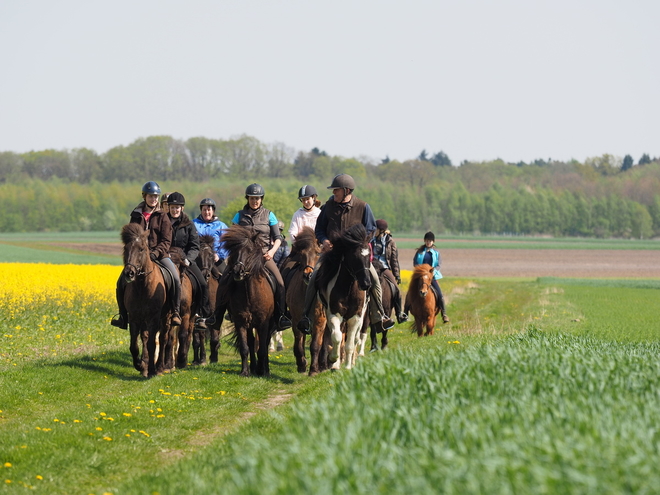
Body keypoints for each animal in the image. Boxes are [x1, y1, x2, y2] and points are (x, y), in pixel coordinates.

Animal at [118, 223, 175, 378]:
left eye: (142, 249)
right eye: (126, 248)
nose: (129, 273)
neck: (142, 286)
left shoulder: (153, 318)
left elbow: (152, 344)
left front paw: (152, 371)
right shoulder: (134, 317)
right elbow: (134, 345)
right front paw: (140, 365)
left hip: (166, 317)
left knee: (163, 339)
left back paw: (160, 367)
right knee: (145, 337)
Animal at [215, 225, 274, 376]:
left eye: (249, 250)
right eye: (234, 251)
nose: (238, 271)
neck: (249, 294)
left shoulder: (264, 323)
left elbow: (262, 348)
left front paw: (263, 372)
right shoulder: (240, 321)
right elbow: (245, 347)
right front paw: (245, 372)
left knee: (263, 344)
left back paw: (264, 369)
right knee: (252, 342)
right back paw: (253, 368)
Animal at [282, 227, 328, 374]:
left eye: (318, 253)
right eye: (301, 254)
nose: (308, 274)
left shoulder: (320, 321)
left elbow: (315, 345)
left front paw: (314, 369)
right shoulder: (297, 320)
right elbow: (298, 343)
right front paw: (302, 365)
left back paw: (323, 364)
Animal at [314, 223, 372, 370]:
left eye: (368, 256)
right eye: (354, 256)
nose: (366, 284)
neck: (348, 289)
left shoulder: (355, 317)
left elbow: (350, 344)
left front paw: (348, 367)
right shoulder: (334, 314)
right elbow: (336, 337)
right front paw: (333, 360)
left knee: (356, 338)